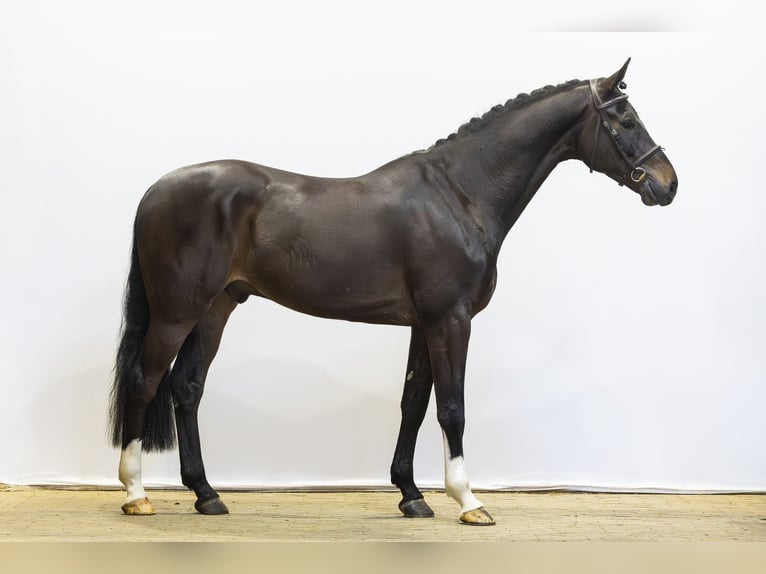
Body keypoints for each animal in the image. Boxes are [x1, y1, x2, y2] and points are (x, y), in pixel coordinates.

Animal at [109, 59, 677, 525]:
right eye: (627, 120)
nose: (668, 184)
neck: (459, 194)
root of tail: (155, 191)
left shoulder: (424, 324)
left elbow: (414, 403)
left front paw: (411, 495)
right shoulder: (451, 319)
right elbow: (452, 406)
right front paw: (469, 501)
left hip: (216, 306)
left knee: (187, 387)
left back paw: (206, 494)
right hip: (177, 311)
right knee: (144, 379)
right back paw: (137, 494)